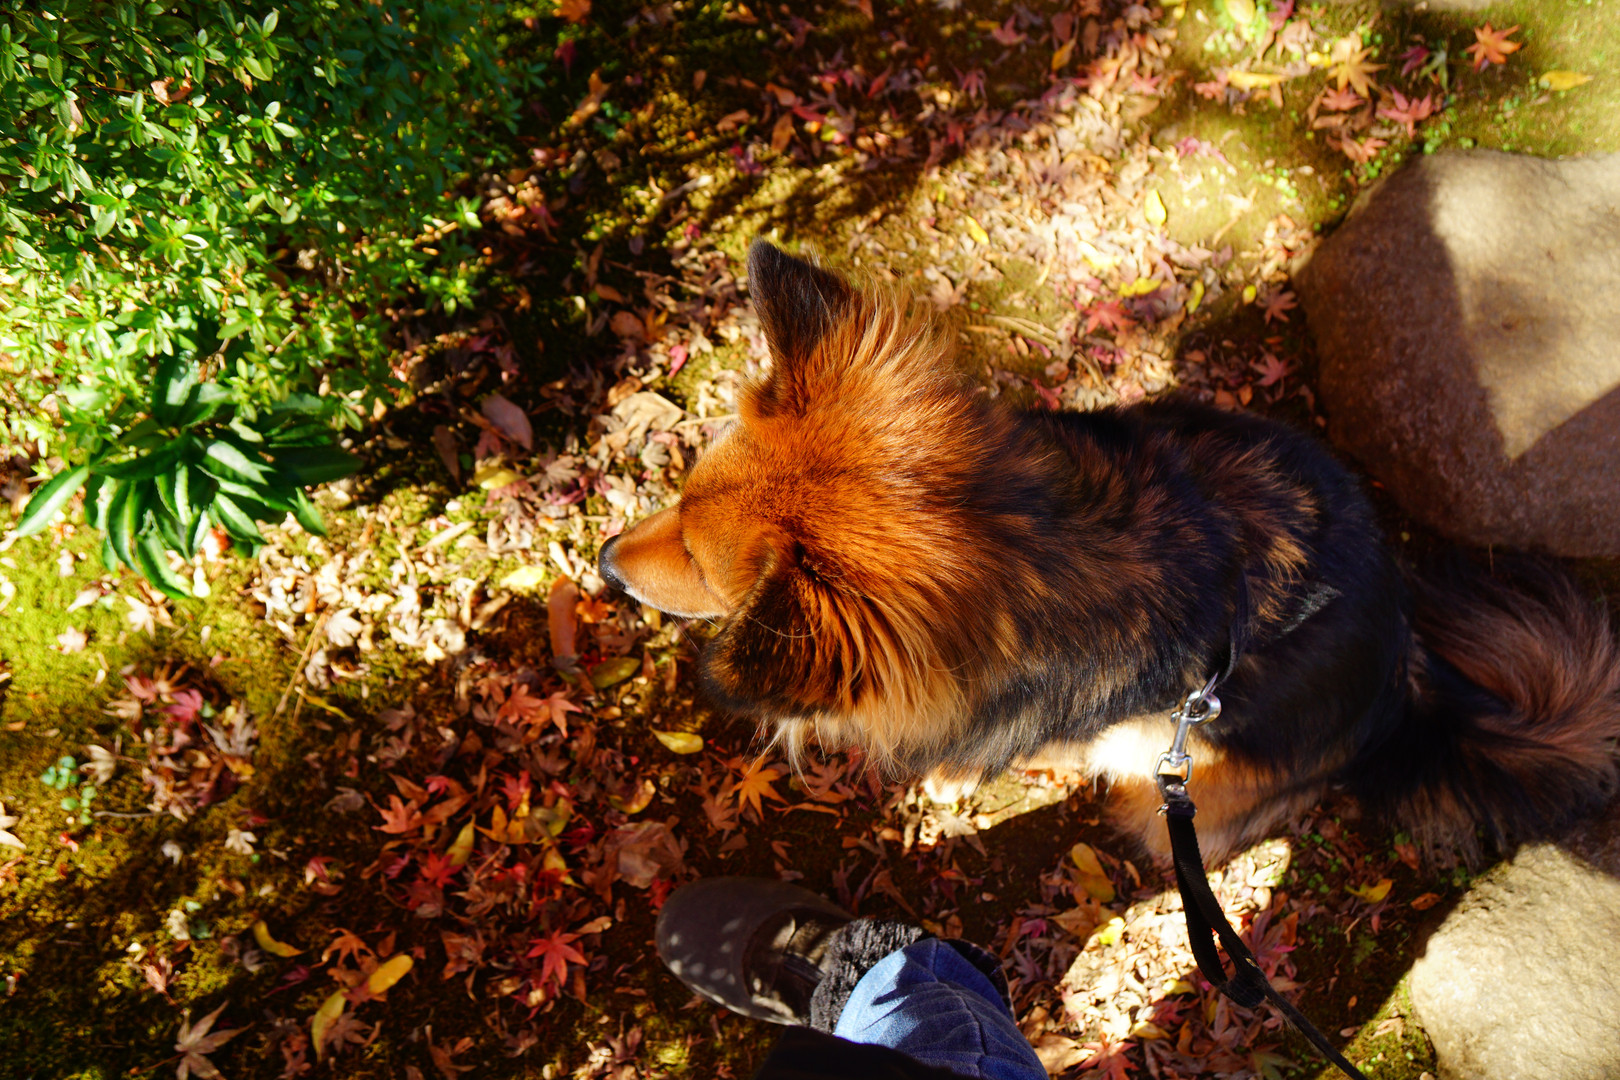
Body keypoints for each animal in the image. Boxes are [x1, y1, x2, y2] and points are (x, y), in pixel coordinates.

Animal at [599, 241, 1620, 863]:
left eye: (700, 560)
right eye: (681, 493)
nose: (604, 560)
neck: (1030, 536)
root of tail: (1410, 675)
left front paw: (954, 773)